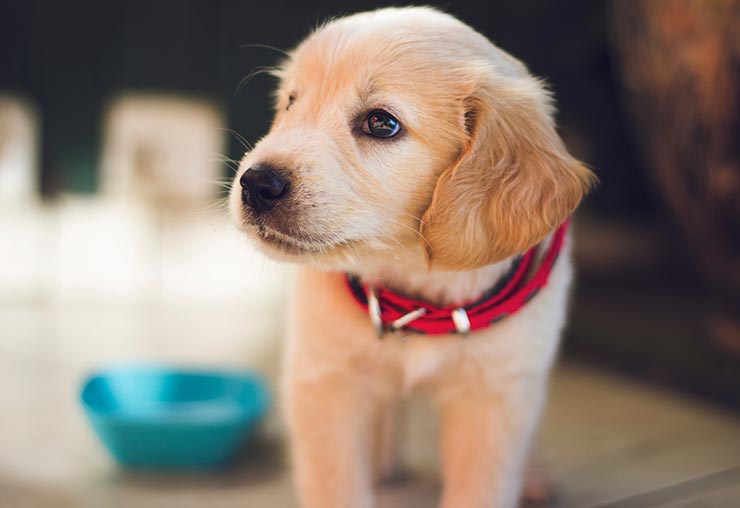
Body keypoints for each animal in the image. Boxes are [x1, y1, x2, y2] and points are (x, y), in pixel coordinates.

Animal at [231, 5, 596, 506]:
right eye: (291, 102)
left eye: (381, 123)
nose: (255, 184)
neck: (415, 286)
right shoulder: (325, 379)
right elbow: (335, 482)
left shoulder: (496, 393)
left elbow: (481, 486)